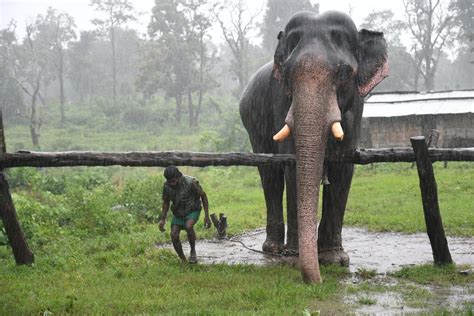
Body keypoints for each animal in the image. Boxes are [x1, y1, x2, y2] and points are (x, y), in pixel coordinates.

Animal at [239, 11, 386, 282]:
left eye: (344, 73)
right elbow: (292, 165)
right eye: (288, 73)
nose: (317, 282)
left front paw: (335, 260)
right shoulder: (281, 100)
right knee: (270, 175)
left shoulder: (356, 107)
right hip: (253, 122)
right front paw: (294, 258)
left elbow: (343, 168)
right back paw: (273, 249)